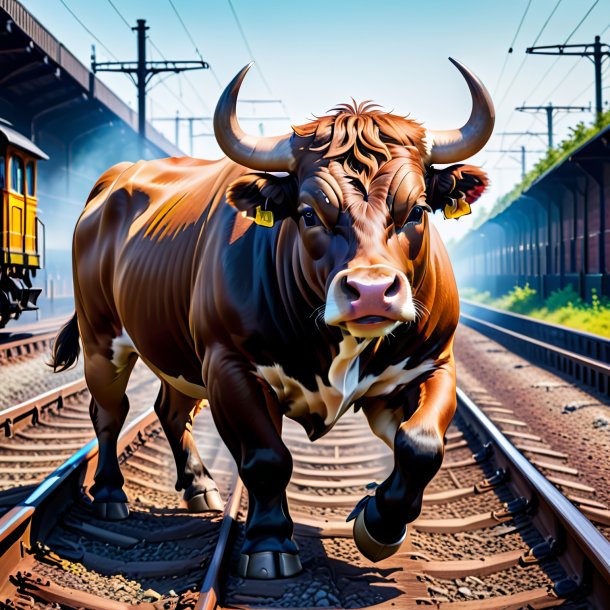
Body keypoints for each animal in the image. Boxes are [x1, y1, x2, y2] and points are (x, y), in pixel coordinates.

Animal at [50, 59, 492, 576]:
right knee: (110, 412)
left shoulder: (433, 362)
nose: (370, 292)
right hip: (100, 336)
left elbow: (421, 445)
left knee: (170, 410)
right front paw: (269, 541)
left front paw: (380, 523)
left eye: (418, 209)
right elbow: (266, 458)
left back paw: (199, 485)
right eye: (308, 213)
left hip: (175, 351)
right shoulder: (228, 364)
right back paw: (109, 492)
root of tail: (113, 181)